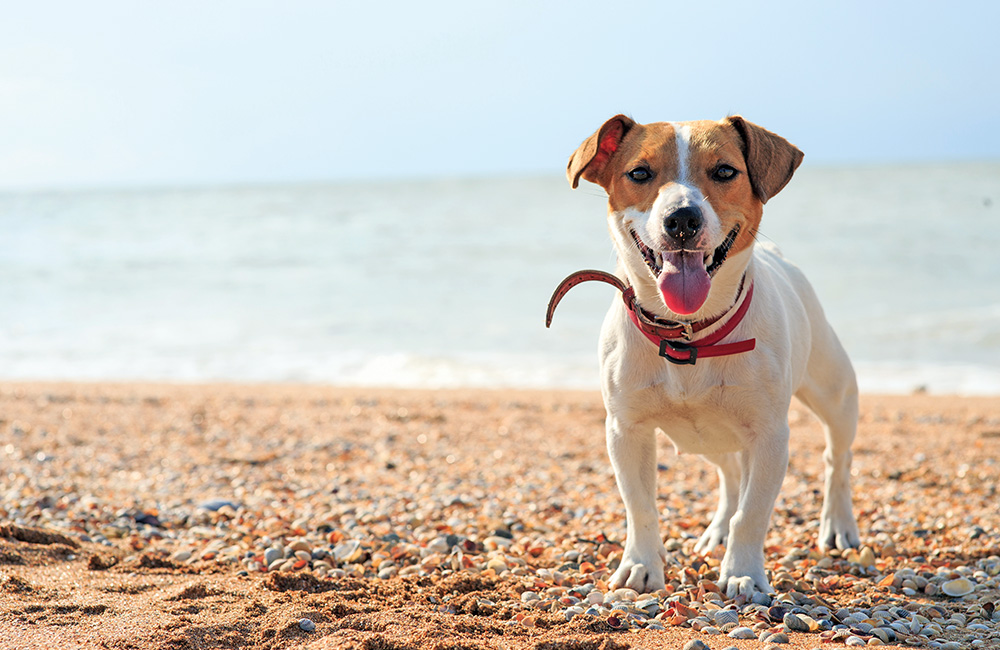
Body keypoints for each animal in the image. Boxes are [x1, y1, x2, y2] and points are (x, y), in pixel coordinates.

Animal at [548, 114, 860, 596]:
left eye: (725, 171)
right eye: (640, 172)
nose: (682, 219)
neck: (690, 334)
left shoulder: (769, 436)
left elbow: (752, 514)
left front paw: (743, 573)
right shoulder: (625, 430)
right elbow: (640, 507)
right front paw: (641, 566)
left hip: (836, 393)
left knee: (836, 460)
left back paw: (838, 525)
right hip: (707, 437)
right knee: (729, 474)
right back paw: (715, 532)